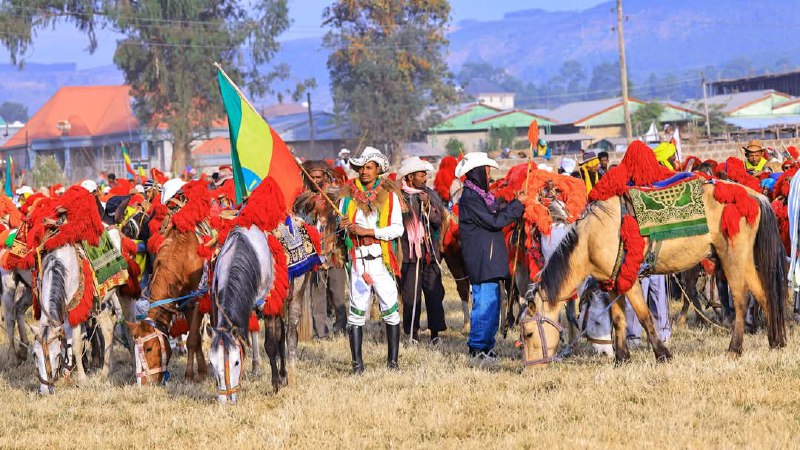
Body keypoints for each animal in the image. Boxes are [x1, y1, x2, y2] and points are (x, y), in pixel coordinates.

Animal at [208, 227, 280, 402]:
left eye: (236, 362)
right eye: (211, 363)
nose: (224, 400)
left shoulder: (267, 305)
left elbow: (271, 345)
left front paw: (276, 384)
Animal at [520, 183, 784, 366]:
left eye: (529, 333)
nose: (531, 367)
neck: (593, 237)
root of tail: (753, 196)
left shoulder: (630, 283)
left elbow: (644, 316)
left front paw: (662, 354)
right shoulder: (613, 283)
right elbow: (619, 320)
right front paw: (622, 359)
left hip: (732, 257)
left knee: (741, 300)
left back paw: (734, 348)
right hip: (744, 260)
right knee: (764, 294)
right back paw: (776, 341)